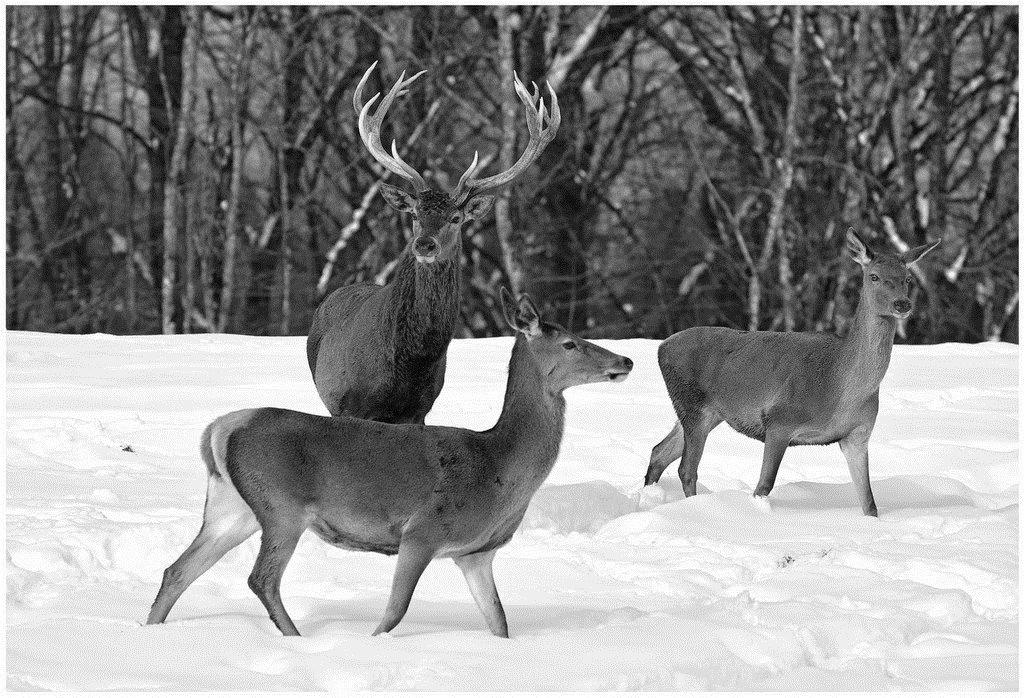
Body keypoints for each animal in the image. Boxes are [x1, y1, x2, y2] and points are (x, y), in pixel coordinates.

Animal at [147, 284, 626, 634]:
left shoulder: (476, 554)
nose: (626, 359)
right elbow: (394, 614)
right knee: (261, 579)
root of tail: (221, 427)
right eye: (570, 344)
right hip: (282, 506)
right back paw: (295, 638)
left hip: (233, 507)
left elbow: (499, 621)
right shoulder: (422, 531)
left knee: (177, 570)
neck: (499, 467)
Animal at [305, 65, 561, 421]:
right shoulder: (354, 404)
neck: (412, 363)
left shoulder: (421, 410)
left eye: (456, 218)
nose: (425, 245)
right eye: (413, 214)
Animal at [643, 229, 937, 515]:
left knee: (659, 452)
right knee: (686, 469)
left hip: (706, 412)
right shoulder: (779, 421)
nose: (902, 304)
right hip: (693, 406)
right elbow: (763, 486)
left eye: (908, 278)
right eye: (874, 276)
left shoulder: (857, 435)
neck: (839, 385)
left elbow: (869, 503)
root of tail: (661, 347)